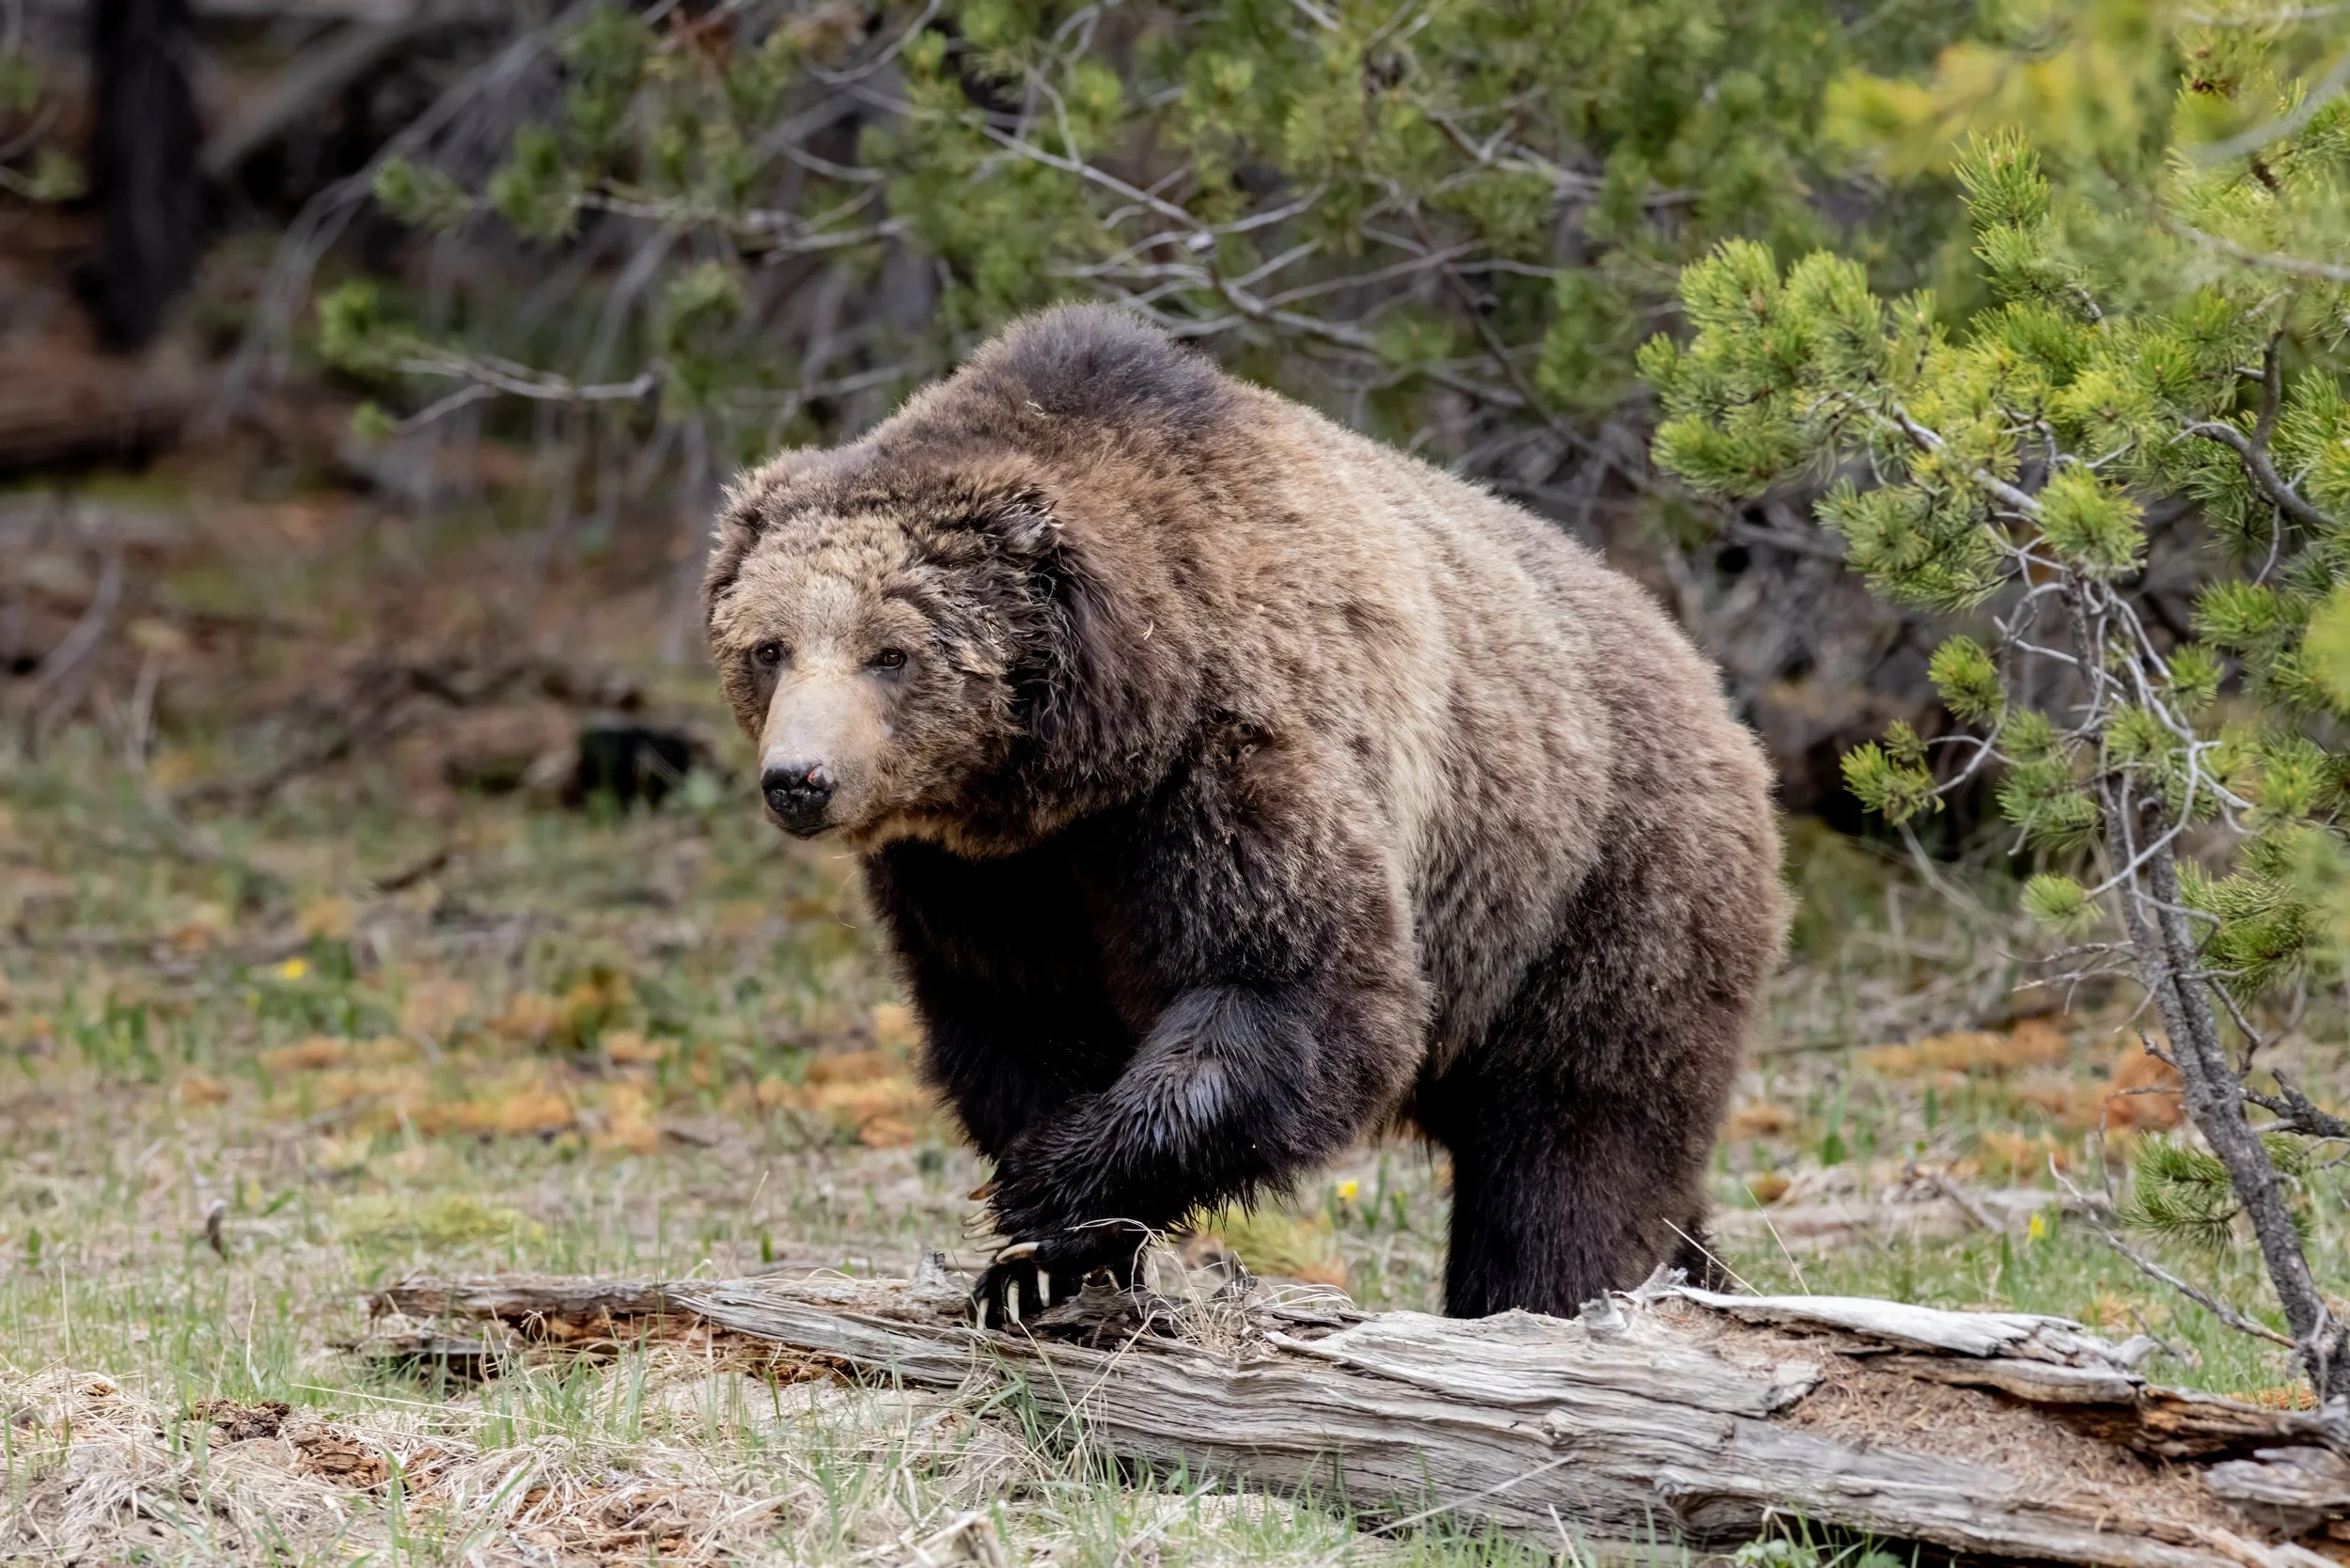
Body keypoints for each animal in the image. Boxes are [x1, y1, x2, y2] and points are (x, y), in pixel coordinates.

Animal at [703, 305, 1788, 1323]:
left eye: (891, 652)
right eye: (770, 646)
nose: (798, 778)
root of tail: (1713, 690)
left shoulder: (1229, 765)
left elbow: (1290, 986)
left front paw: (1046, 1196)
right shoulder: (983, 876)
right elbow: (1015, 1021)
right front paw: (1040, 1262)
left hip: (1588, 893)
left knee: (1574, 1143)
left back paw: (1543, 1298)